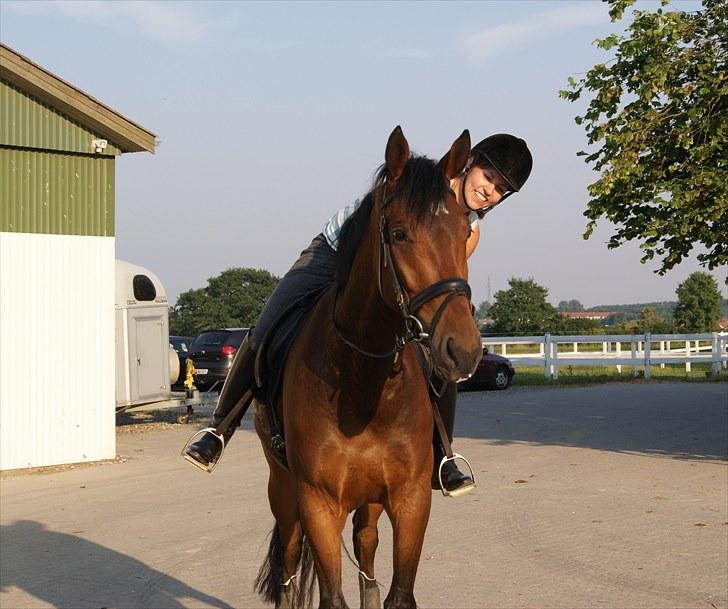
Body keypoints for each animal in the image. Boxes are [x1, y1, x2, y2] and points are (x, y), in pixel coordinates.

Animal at [252, 124, 484, 608]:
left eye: (462, 232)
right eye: (398, 234)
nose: (463, 350)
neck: (362, 382)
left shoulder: (410, 500)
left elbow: (398, 592)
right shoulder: (318, 504)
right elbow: (329, 594)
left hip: (369, 499)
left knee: (365, 546)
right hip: (282, 488)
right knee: (288, 556)